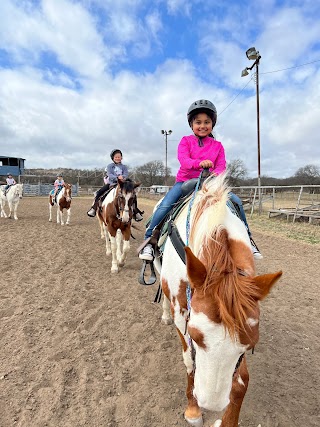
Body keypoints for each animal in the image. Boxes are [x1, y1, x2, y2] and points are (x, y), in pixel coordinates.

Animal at [155, 175, 282, 427]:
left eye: (252, 344)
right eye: (195, 336)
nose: (211, 404)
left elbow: (242, 380)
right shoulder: (181, 313)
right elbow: (190, 362)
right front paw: (193, 411)